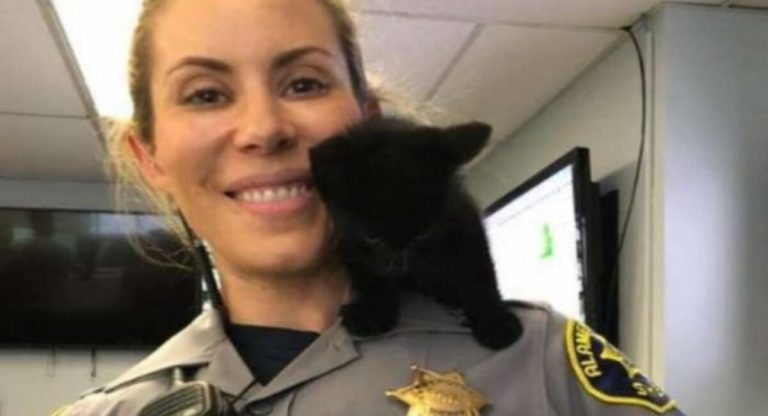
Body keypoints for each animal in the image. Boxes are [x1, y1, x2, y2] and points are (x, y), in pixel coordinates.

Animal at [308, 115, 520, 350]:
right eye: (372, 237)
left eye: (422, 234)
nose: (397, 266)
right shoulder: (348, 243)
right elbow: (369, 275)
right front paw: (372, 313)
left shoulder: (463, 219)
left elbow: (477, 271)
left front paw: (495, 321)